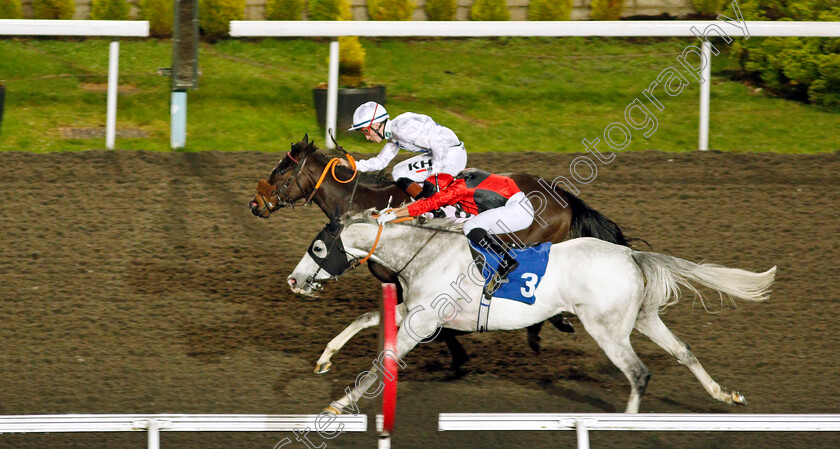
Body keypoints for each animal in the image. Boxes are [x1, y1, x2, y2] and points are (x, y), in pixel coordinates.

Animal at [288, 212, 776, 414]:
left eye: (318, 248)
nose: (293, 281)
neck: (425, 252)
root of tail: (629, 256)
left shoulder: (420, 323)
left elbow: (380, 362)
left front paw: (339, 403)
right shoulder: (413, 312)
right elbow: (362, 322)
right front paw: (324, 359)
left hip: (607, 330)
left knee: (638, 373)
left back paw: (625, 420)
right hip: (641, 319)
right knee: (684, 352)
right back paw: (724, 395)